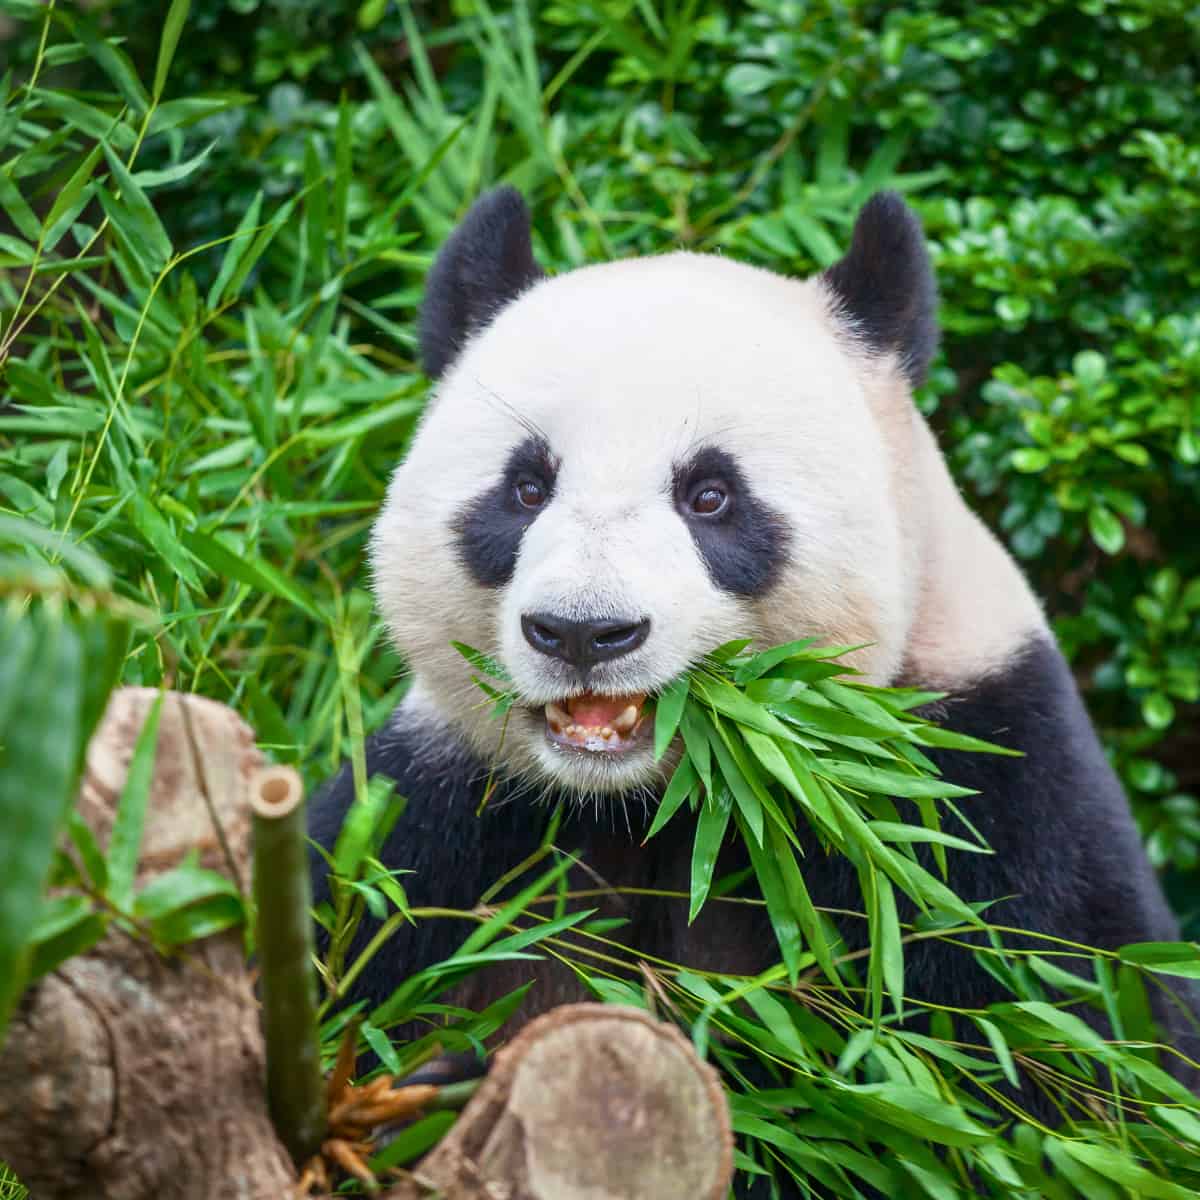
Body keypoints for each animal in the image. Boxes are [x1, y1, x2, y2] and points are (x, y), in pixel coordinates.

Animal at [310, 187, 1197, 1125]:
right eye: (525, 487)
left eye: (710, 495)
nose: (584, 631)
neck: (666, 799)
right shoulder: (441, 812)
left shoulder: (977, 785)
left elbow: (1068, 1052)